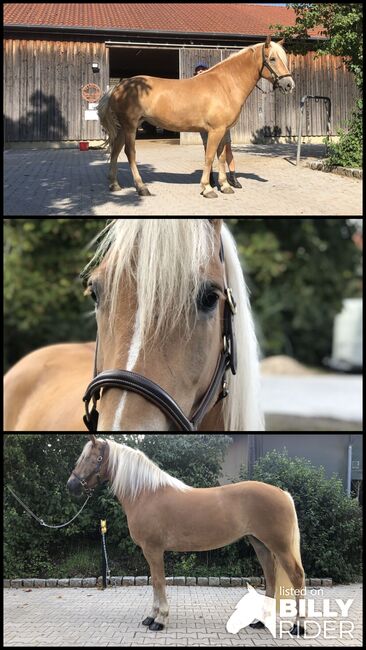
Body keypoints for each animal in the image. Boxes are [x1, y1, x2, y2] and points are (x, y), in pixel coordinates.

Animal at [68, 436, 306, 632]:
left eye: (93, 458)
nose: (71, 485)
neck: (146, 494)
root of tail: (283, 493)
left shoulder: (153, 550)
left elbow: (158, 581)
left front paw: (159, 620)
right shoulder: (150, 551)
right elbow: (154, 583)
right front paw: (151, 617)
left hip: (279, 547)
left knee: (297, 577)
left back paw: (298, 626)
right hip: (261, 544)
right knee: (271, 578)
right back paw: (260, 622)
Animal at [98, 35, 294, 196]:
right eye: (272, 59)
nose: (289, 85)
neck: (225, 85)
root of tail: (119, 86)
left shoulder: (223, 131)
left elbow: (222, 157)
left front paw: (225, 186)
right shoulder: (215, 131)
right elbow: (209, 156)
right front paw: (207, 189)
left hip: (123, 128)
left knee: (115, 151)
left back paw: (115, 185)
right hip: (130, 126)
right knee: (129, 153)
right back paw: (142, 188)